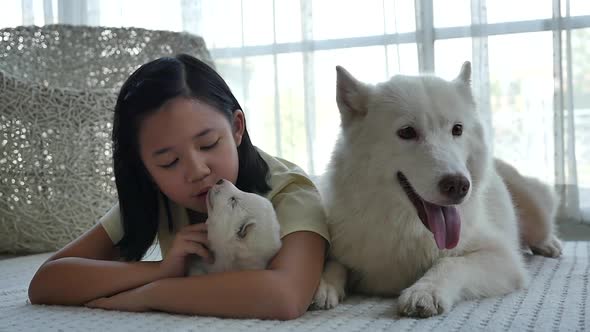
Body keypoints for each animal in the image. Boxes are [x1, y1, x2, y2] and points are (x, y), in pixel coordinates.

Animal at [314, 61, 564, 318]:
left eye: (457, 129)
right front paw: (324, 285)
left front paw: (426, 291)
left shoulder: (502, 258)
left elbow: (450, 262)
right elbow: (334, 263)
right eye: (406, 132)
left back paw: (549, 244)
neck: (407, 227)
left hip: (535, 210)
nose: (458, 186)